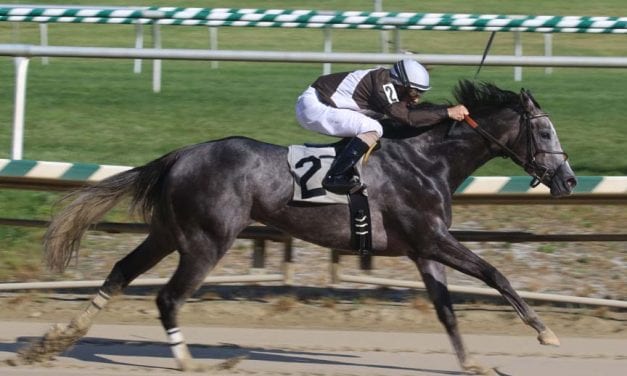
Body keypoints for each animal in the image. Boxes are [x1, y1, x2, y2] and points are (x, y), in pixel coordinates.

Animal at [22, 80, 576, 374]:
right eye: (546, 131)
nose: (569, 179)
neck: (426, 160)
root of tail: (180, 155)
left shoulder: (422, 250)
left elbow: (446, 311)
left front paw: (472, 363)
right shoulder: (433, 239)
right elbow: (494, 274)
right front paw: (546, 333)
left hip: (168, 233)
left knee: (120, 271)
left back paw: (56, 339)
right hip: (206, 241)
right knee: (168, 297)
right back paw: (191, 363)